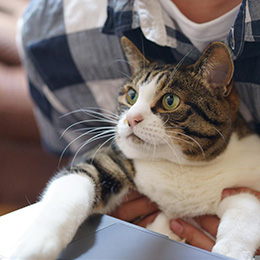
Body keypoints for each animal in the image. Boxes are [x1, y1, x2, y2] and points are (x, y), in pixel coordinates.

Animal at [9, 37, 260, 260]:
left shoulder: (244, 183)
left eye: (170, 101)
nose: (131, 119)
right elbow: (70, 188)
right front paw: (35, 244)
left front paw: (227, 252)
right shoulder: (110, 160)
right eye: (131, 95)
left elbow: (245, 214)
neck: (179, 167)